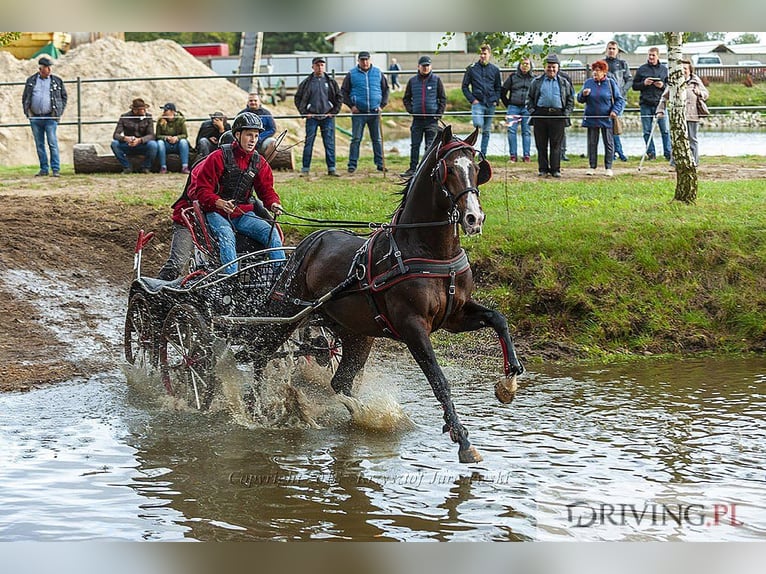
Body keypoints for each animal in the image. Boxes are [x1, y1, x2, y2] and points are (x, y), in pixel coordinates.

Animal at [258, 125, 520, 464]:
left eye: (476, 169)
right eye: (448, 170)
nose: (474, 219)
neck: (427, 250)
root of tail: (311, 240)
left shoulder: (455, 315)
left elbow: (499, 319)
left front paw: (509, 383)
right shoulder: (412, 327)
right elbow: (439, 380)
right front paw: (462, 438)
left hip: (356, 334)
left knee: (339, 382)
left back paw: (362, 415)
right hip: (286, 314)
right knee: (258, 354)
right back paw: (255, 405)